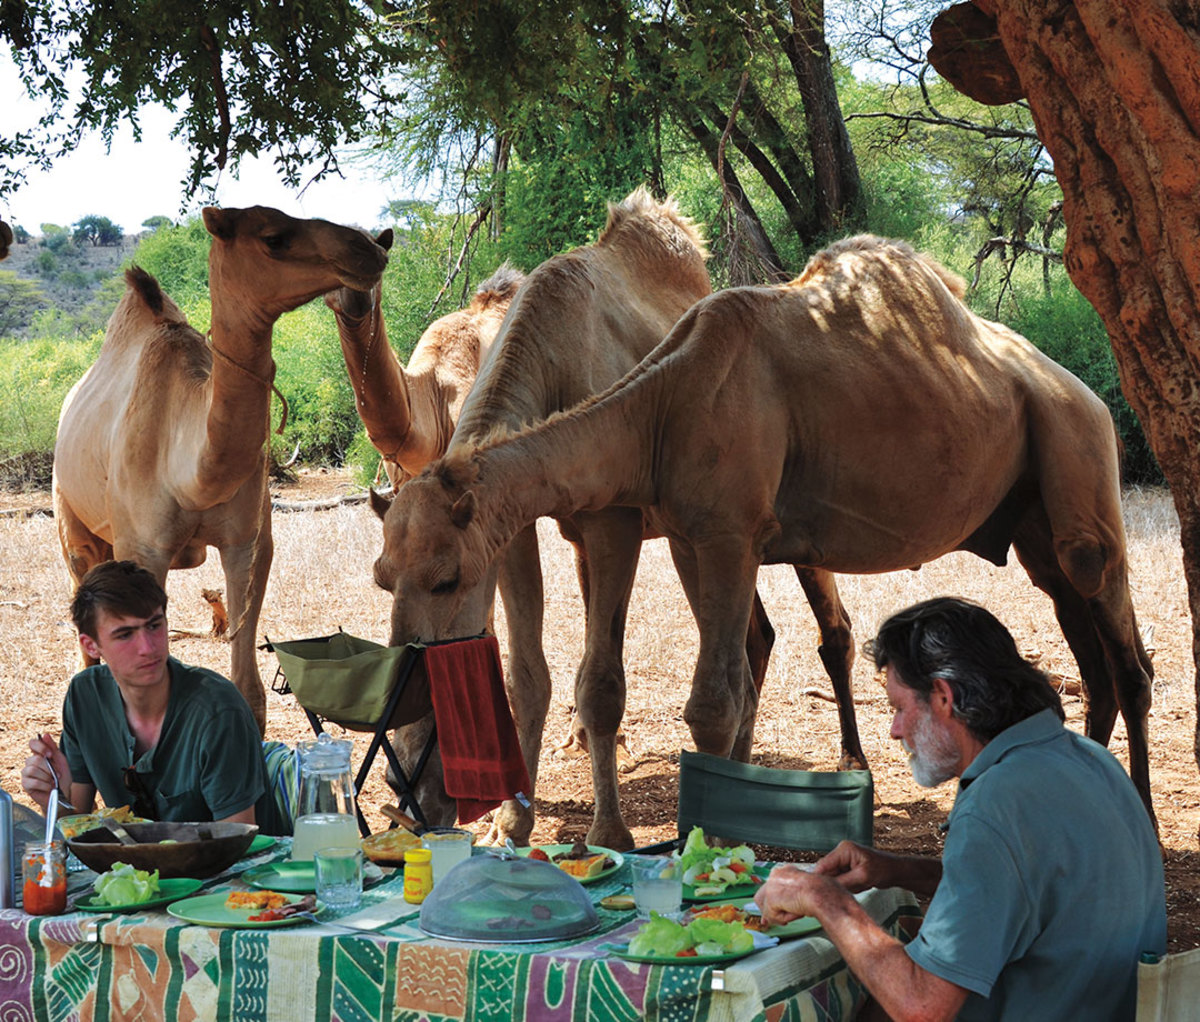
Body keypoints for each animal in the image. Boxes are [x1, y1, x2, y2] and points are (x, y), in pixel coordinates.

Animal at [52, 207, 388, 729]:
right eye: (274, 237)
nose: (369, 248)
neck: (192, 473)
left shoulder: (249, 541)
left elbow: (249, 688)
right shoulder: (142, 547)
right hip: (71, 516)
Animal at [364, 189, 864, 844]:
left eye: (445, 580)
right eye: (381, 578)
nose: (406, 790)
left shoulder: (614, 523)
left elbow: (601, 684)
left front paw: (608, 834)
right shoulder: (512, 527)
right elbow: (527, 678)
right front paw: (510, 825)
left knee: (832, 631)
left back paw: (846, 761)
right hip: (700, 538)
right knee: (753, 638)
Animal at [376, 235, 1161, 834]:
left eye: (447, 578)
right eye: (384, 578)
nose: (411, 797)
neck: (659, 406)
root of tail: (1081, 390)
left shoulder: (719, 534)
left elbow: (711, 701)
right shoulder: (694, 534)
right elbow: (722, 681)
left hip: (1079, 462)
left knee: (1126, 657)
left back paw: (1143, 816)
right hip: (1034, 524)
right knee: (1088, 659)